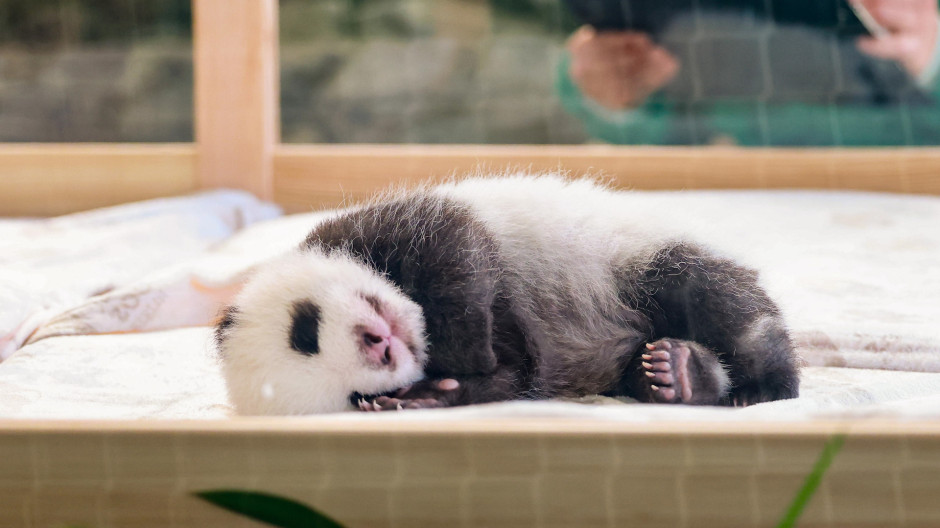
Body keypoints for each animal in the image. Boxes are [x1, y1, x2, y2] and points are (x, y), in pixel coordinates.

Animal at [215, 175, 800, 414]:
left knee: (718, 301)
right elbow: (514, 376)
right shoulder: (522, 359)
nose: (380, 347)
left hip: (639, 260)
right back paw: (676, 375)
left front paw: (468, 347)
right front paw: (426, 395)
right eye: (350, 395)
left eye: (305, 330)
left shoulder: (380, 227)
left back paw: (762, 386)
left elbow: (458, 252)